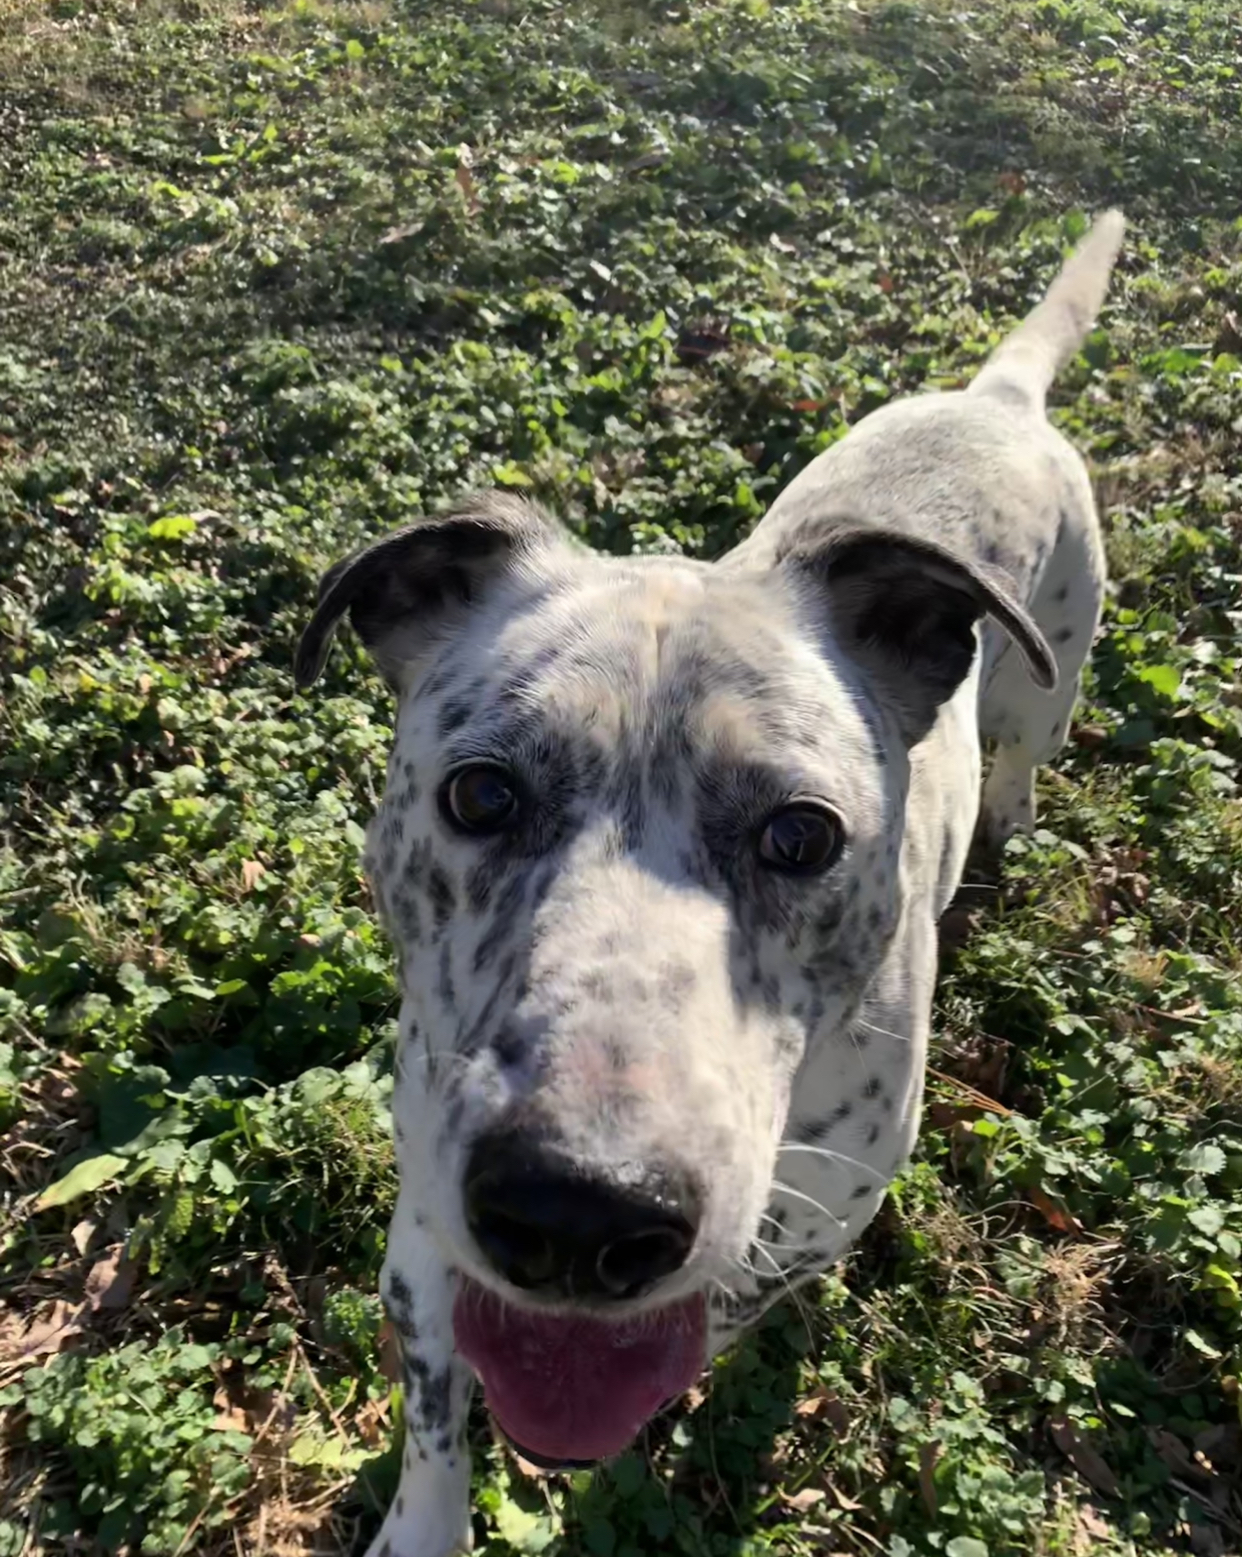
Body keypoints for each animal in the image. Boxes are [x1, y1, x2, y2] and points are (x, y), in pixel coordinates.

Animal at [294, 210, 1126, 1557]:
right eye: (481, 796)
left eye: (801, 836)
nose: (579, 1209)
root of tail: (997, 398)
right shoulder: (424, 1219)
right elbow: (433, 1410)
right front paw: (426, 1523)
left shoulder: (801, 1228)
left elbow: (713, 1318)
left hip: (1055, 669)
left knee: (1025, 752)